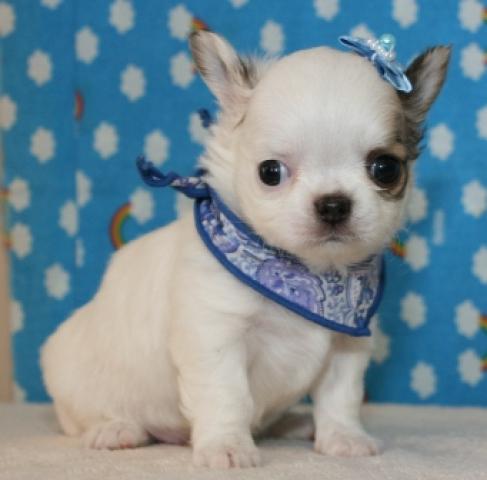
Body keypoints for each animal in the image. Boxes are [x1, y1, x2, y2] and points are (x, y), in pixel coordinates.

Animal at [41, 30, 450, 468]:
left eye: (385, 169)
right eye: (270, 173)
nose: (333, 204)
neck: (309, 272)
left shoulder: (346, 347)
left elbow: (341, 397)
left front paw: (343, 437)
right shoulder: (215, 336)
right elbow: (227, 396)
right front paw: (226, 446)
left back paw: (293, 423)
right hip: (79, 380)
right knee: (86, 417)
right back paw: (114, 429)